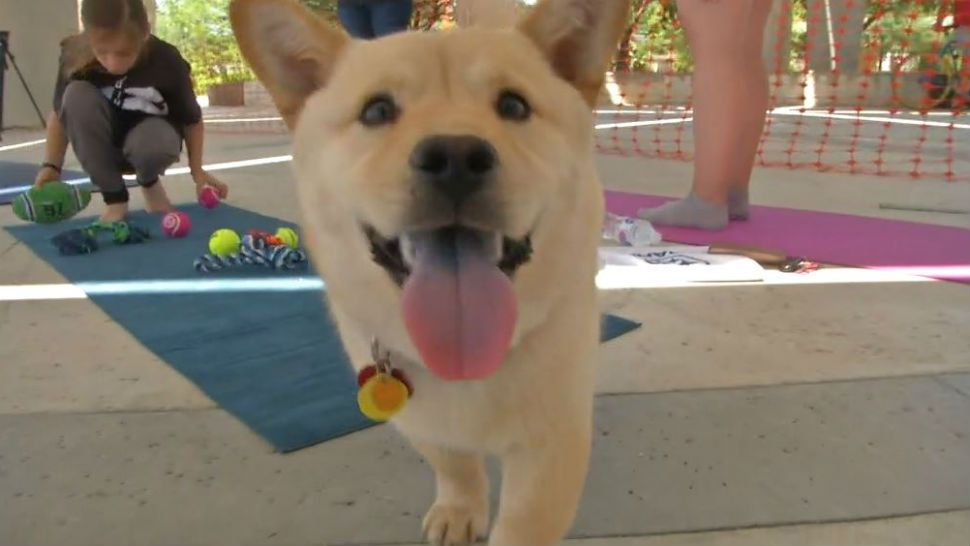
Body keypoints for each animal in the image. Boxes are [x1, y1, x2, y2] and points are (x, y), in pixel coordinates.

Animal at [228, 2, 628, 540]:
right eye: (376, 111)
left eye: (514, 106)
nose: (456, 156)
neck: (463, 357)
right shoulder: (421, 416)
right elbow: (453, 463)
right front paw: (459, 508)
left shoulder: (551, 443)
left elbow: (523, 524)